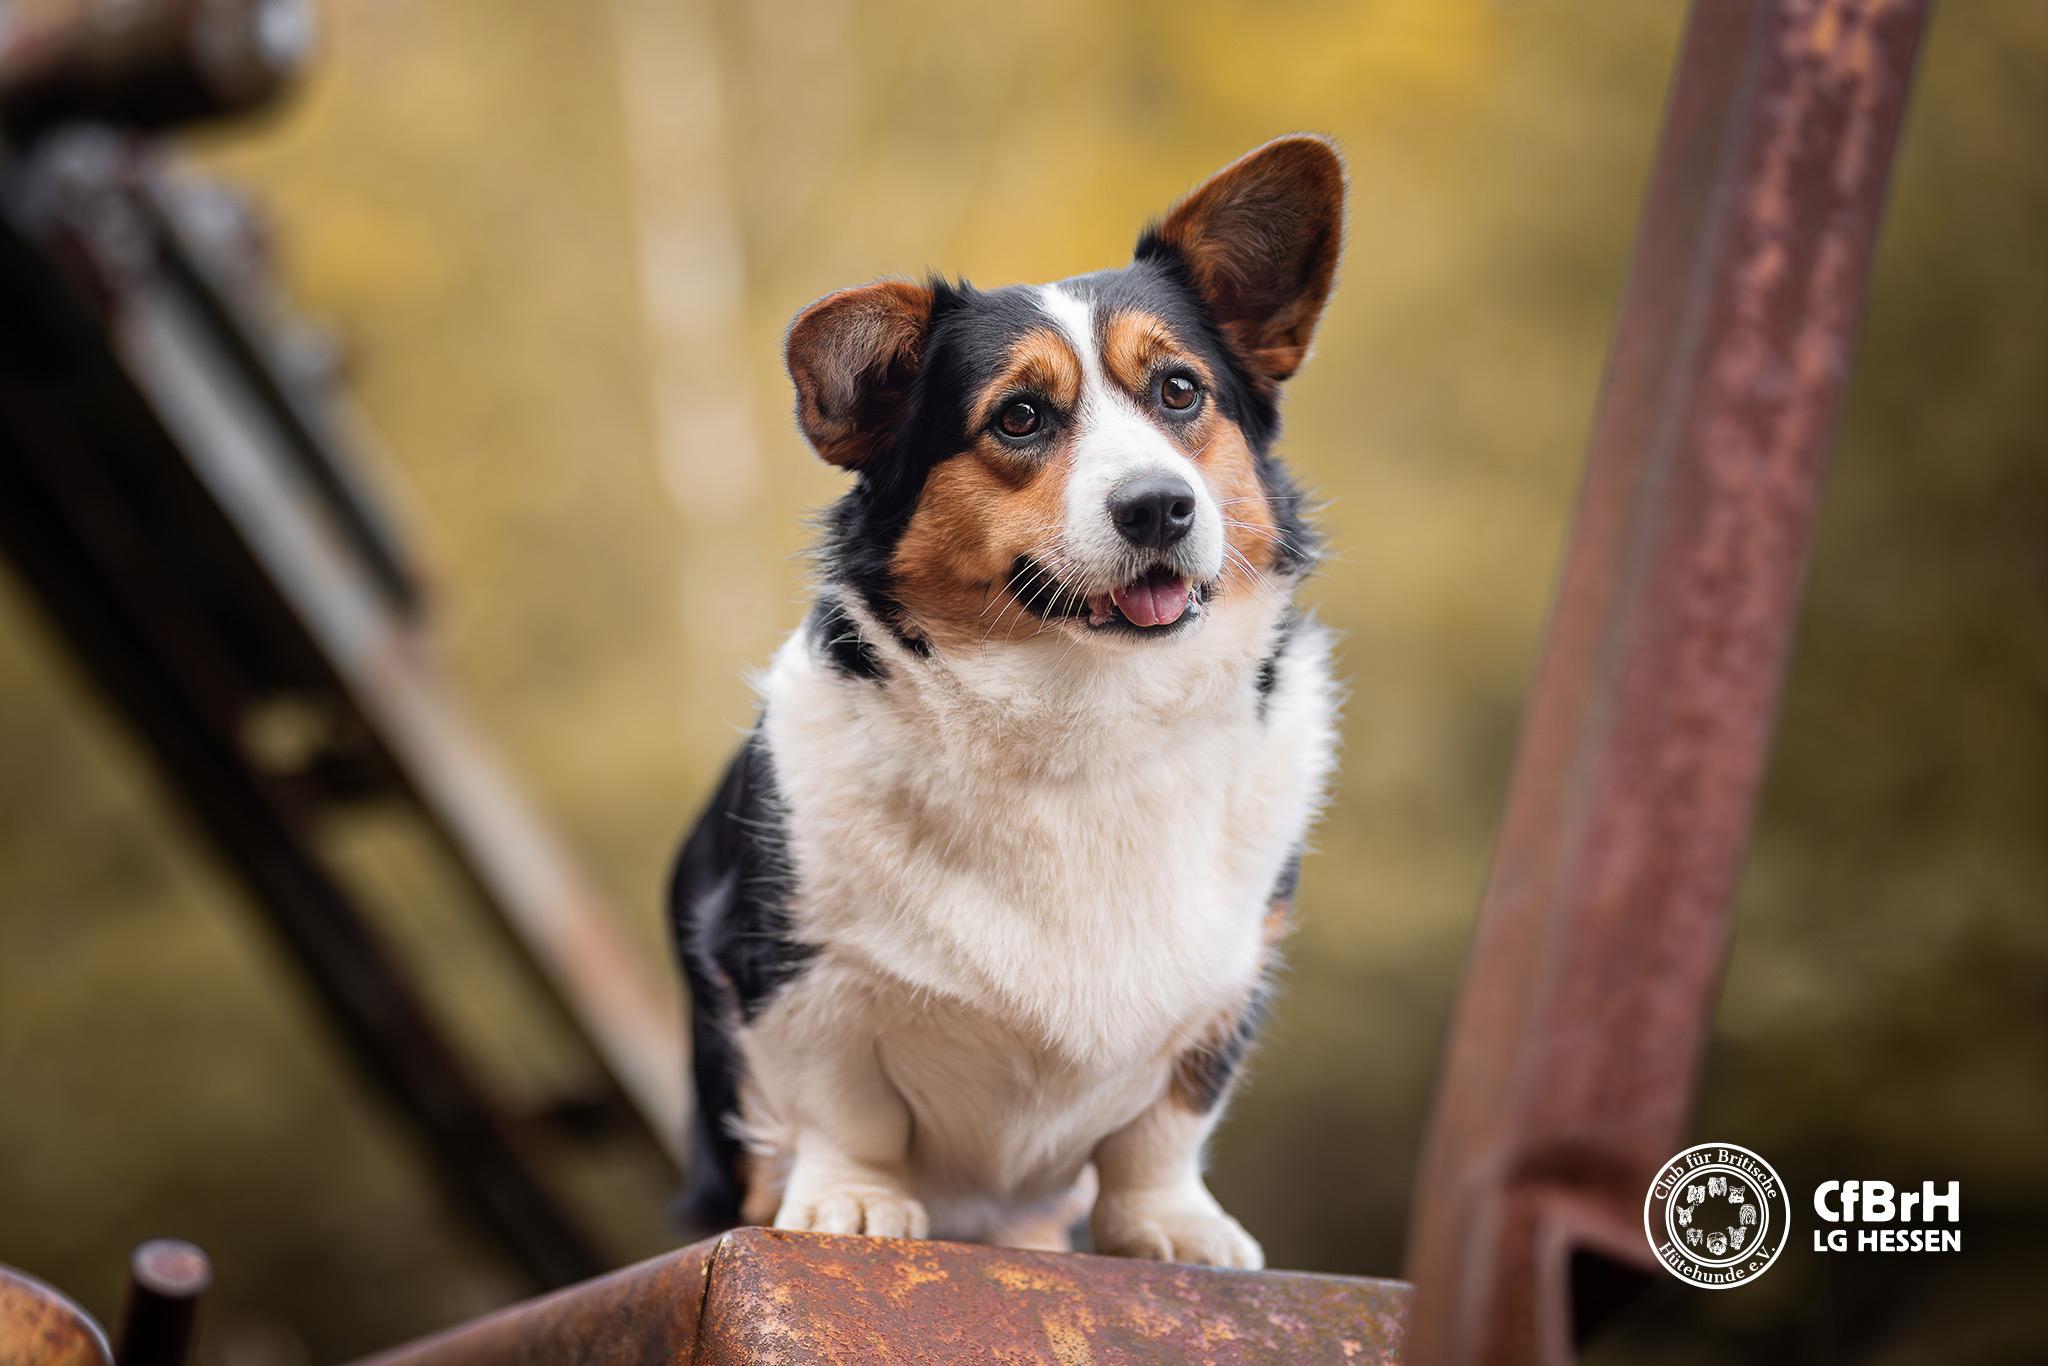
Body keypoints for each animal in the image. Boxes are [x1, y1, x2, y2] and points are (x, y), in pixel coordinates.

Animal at [667, 139, 1343, 1269]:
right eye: (1019, 416)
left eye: (1179, 391)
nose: (1161, 506)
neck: (1085, 714)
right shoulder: (787, 969)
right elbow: (840, 1110)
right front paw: (853, 1204)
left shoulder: (1230, 981)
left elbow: (1166, 1126)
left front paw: (1171, 1227)